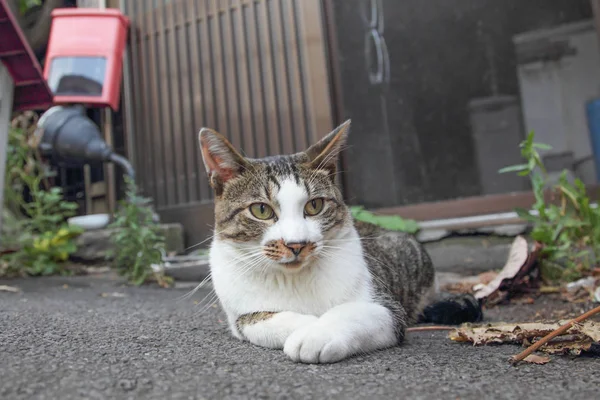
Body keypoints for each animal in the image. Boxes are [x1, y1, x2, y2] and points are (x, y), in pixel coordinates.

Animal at [199, 120, 480, 364]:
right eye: (261, 210)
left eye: (314, 206)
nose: (296, 244)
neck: (294, 280)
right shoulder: (239, 314)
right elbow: (258, 321)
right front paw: (309, 324)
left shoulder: (386, 307)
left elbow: (354, 312)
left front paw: (318, 333)